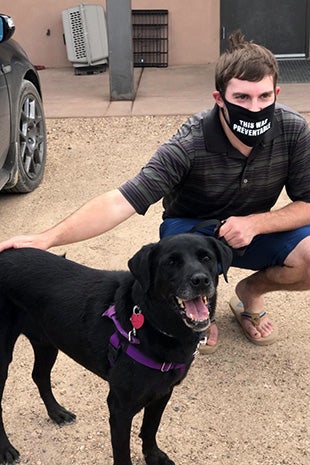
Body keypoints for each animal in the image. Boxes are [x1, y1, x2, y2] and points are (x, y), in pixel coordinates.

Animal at [0, 234, 231, 464]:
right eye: (171, 262)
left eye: (206, 257)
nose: (200, 280)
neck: (154, 323)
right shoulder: (120, 408)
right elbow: (123, 453)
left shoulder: (163, 391)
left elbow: (151, 428)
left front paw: (153, 456)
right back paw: (6, 449)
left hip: (47, 342)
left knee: (39, 376)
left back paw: (57, 412)